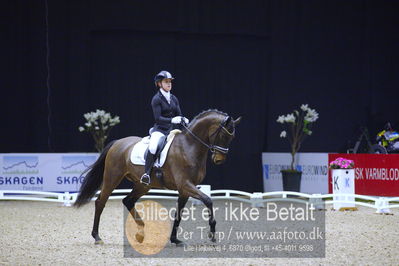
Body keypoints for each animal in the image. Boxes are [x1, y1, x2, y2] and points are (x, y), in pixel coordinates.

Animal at [74, 109, 242, 245]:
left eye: (232, 137)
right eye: (223, 135)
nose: (219, 160)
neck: (189, 146)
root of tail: (117, 143)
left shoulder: (185, 189)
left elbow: (179, 213)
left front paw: (175, 239)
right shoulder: (185, 184)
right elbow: (208, 200)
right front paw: (212, 234)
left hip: (142, 185)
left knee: (128, 201)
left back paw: (141, 233)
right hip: (112, 178)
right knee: (100, 202)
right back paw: (97, 237)